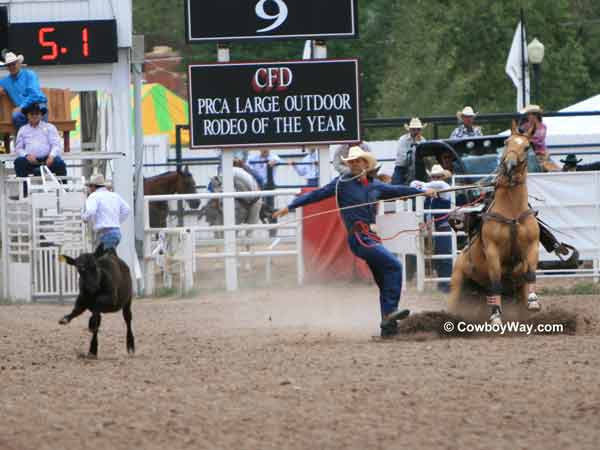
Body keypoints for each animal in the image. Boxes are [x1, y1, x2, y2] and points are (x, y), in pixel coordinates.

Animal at [450, 119, 544, 324]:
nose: (509, 165)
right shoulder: (492, 251)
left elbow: (531, 273)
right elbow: (495, 283)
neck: (512, 214)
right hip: (458, 283)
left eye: (527, 147)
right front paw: (495, 316)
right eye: (507, 142)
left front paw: (534, 301)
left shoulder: (532, 246)